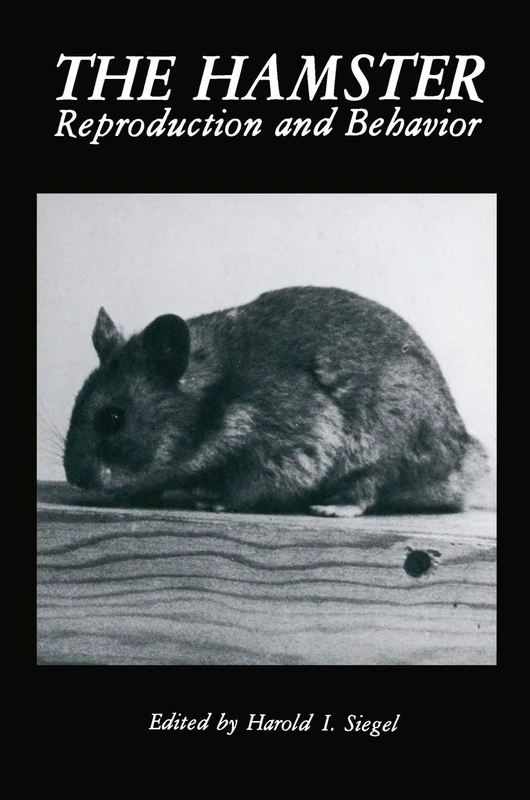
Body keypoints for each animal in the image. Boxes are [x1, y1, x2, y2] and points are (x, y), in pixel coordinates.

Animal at [63, 286, 489, 516]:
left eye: (113, 419)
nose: (74, 479)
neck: (216, 400)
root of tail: (463, 457)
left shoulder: (289, 448)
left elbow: (247, 490)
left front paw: (211, 502)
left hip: (383, 447)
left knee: (369, 490)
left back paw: (332, 507)